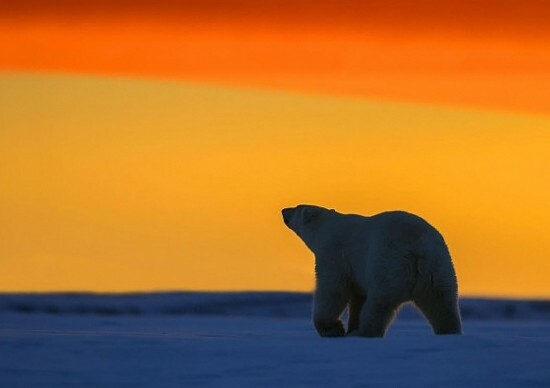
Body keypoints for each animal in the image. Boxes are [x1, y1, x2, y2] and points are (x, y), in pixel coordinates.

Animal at [282, 206, 464, 336]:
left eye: (297, 207)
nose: (283, 210)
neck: (327, 229)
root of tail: (417, 248)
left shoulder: (334, 254)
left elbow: (332, 290)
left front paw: (333, 329)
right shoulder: (357, 270)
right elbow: (358, 296)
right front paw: (350, 326)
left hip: (388, 263)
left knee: (379, 303)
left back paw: (363, 332)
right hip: (438, 266)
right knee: (441, 301)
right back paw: (449, 330)